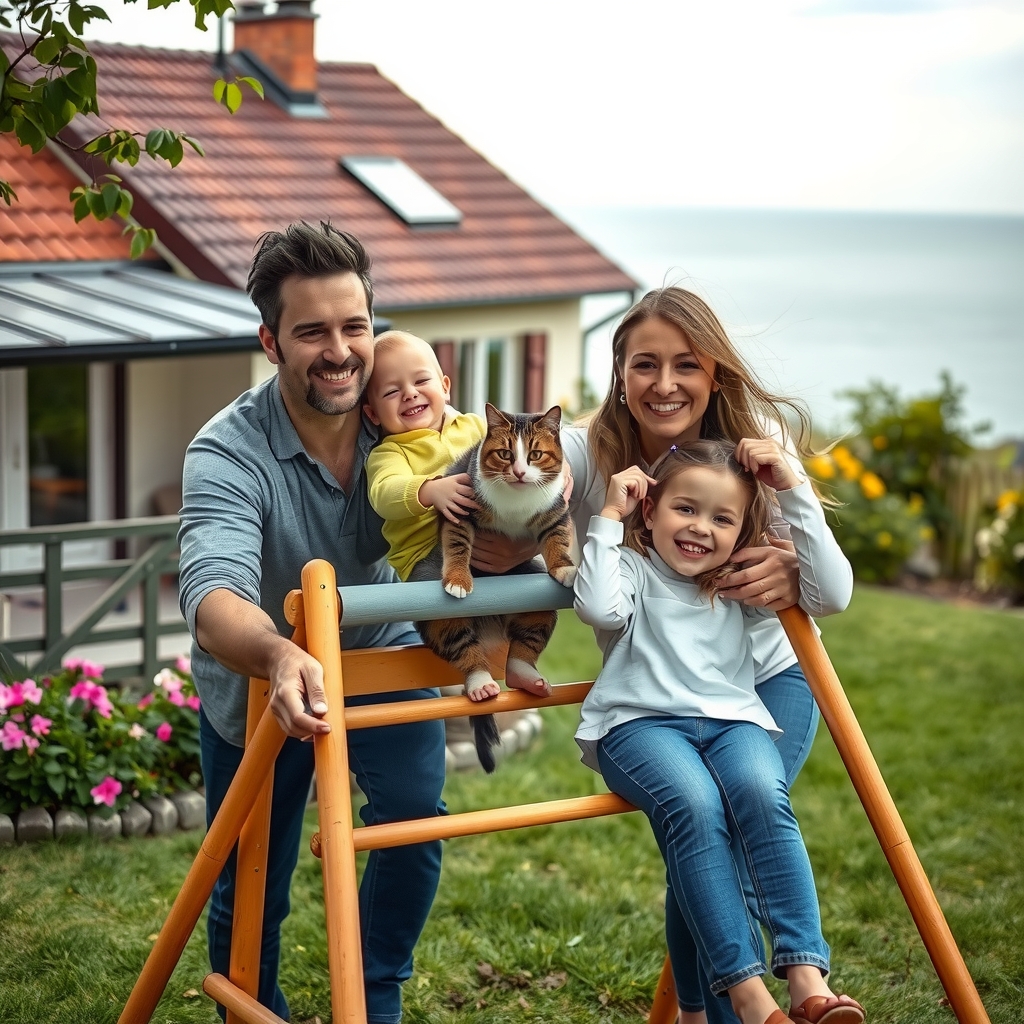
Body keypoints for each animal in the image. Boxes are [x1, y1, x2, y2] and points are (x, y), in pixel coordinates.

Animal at [413, 399, 577, 770]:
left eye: (535, 454)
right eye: (505, 454)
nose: (519, 472)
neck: (516, 502)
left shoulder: (555, 510)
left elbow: (558, 539)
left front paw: (564, 568)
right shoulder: (461, 507)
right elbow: (458, 544)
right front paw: (459, 580)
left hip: (530, 587)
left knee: (527, 639)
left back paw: (524, 675)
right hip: (436, 605)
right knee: (461, 646)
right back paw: (481, 684)